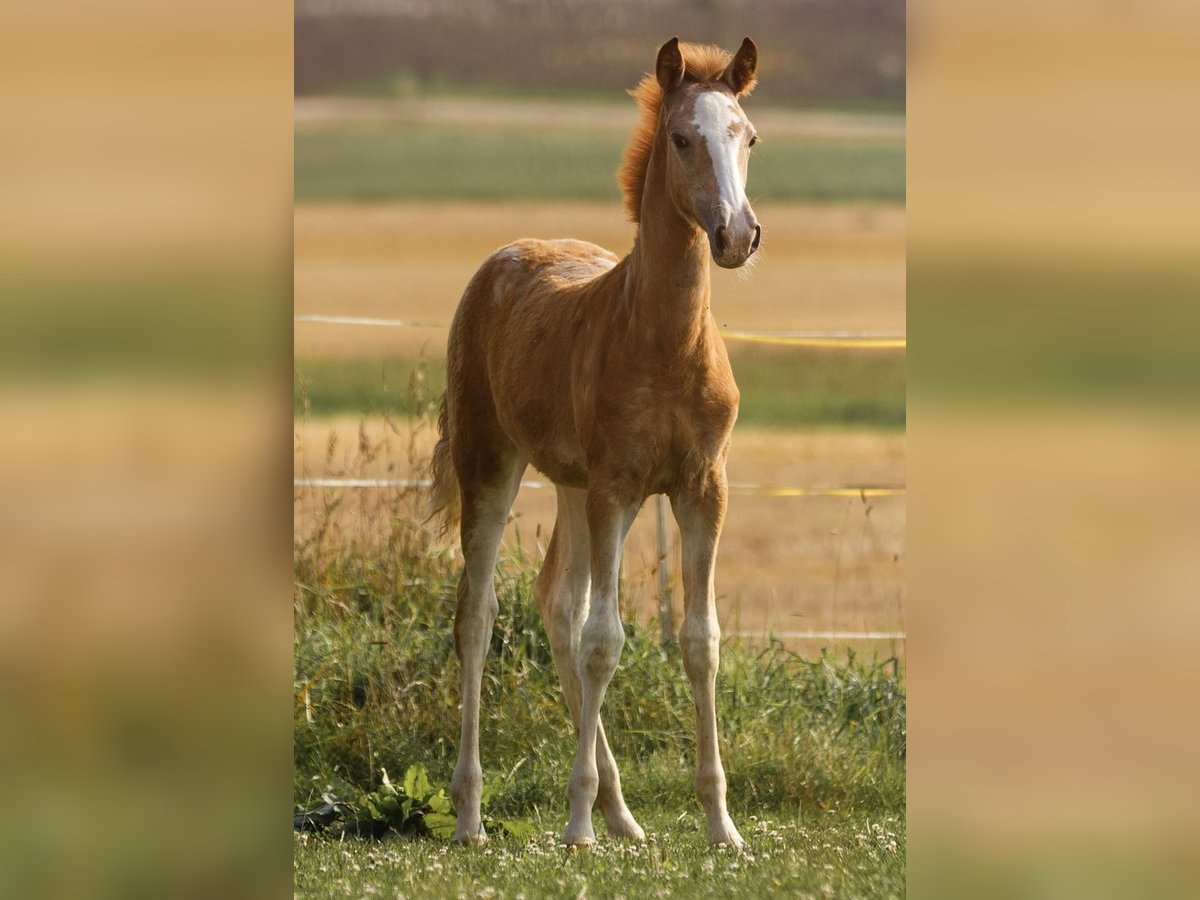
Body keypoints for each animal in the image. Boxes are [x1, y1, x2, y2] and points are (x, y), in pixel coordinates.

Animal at [429, 36, 761, 849]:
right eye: (682, 139)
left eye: (747, 137)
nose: (738, 235)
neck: (666, 343)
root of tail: (504, 257)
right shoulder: (617, 486)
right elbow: (605, 641)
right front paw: (576, 827)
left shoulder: (702, 488)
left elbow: (699, 640)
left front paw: (722, 826)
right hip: (493, 466)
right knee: (479, 616)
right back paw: (473, 815)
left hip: (574, 489)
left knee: (557, 603)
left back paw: (620, 812)